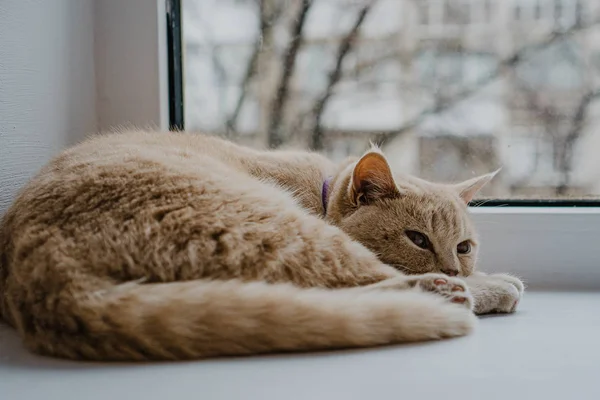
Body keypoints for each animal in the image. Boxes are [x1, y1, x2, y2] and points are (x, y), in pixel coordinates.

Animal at [0, 130, 524, 360]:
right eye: (417, 239)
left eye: (463, 246)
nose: (454, 268)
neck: (318, 188)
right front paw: (491, 282)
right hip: (276, 226)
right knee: (363, 282)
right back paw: (461, 292)